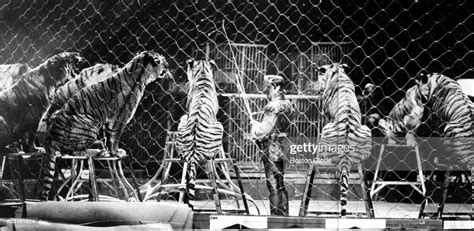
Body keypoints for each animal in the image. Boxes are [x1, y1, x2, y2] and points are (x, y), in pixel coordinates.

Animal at [40, 50, 170, 200]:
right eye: (159, 61)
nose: (168, 66)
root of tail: (50, 138)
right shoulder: (119, 119)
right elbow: (114, 138)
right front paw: (116, 152)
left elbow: (108, 138)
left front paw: (110, 151)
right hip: (90, 123)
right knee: (76, 152)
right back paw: (96, 151)